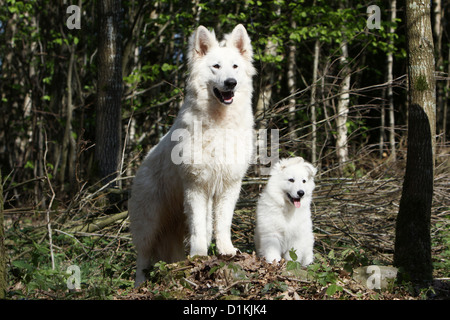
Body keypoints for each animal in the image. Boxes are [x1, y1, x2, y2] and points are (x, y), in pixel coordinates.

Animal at [128, 24, 255, 284]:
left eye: (235, 67)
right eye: (216, 66)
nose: (231, 82)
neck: (219, 123)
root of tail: (142, 163)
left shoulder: (228, 186)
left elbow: (222, 224)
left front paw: (226, 250)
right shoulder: (196, 187)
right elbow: (198, 228)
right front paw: (198, 256)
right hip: (149, 223)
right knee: (142, 258)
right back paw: (139, 284)